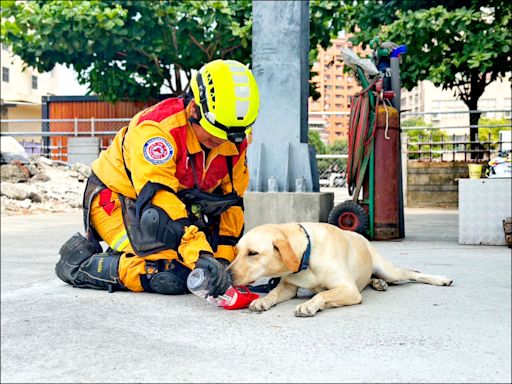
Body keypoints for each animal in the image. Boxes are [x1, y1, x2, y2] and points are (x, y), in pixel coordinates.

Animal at [230, 220, 454, 316]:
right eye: (237, 251)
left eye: (253, 253)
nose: (227, 274)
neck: (307, 255)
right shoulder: (288, 286)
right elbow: (274, 294)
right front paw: (263, 300)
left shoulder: (349, 289)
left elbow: (322, 294)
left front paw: (309, 305)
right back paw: (378, 283)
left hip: (390, 271)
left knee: (412, 273)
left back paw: (440, 279)